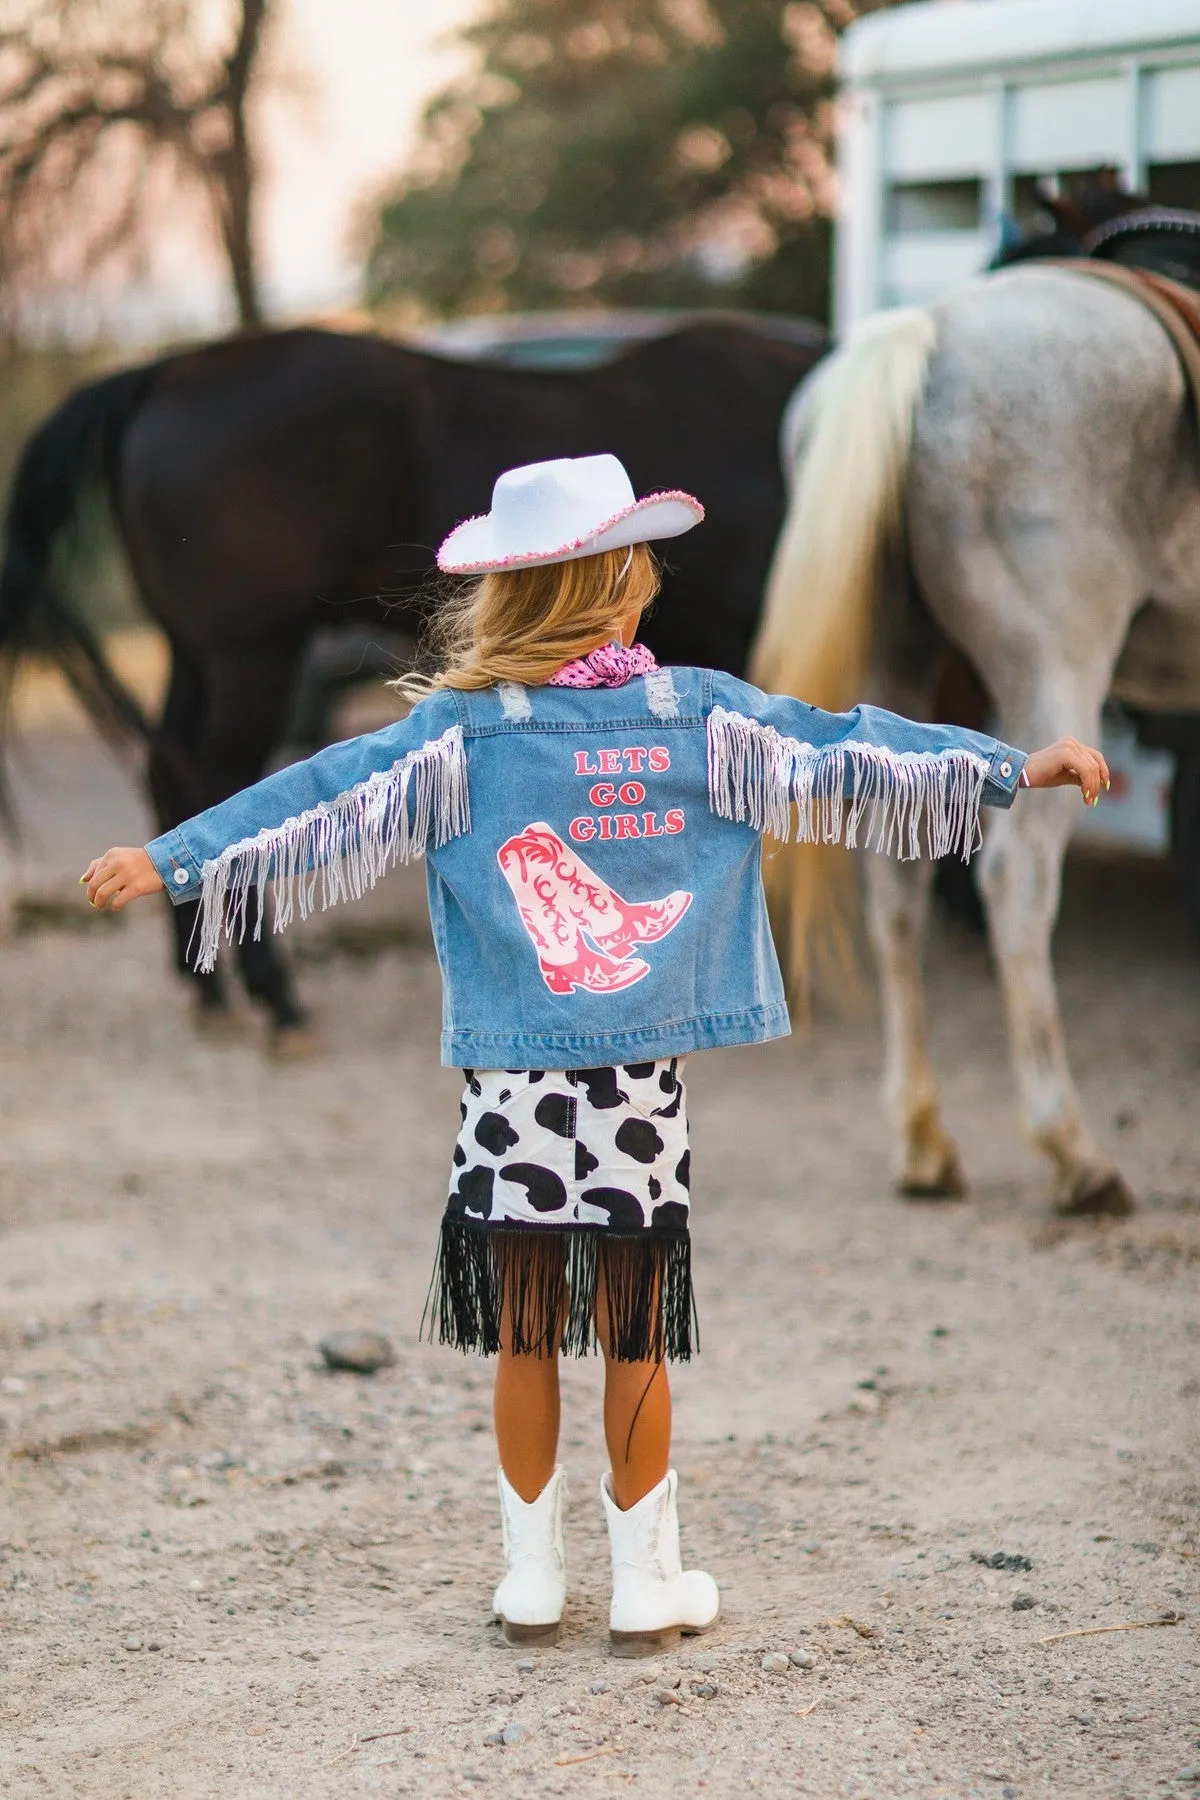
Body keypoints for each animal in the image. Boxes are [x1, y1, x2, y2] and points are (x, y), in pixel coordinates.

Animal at [0, 316, 827, 1036]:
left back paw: (208, 989)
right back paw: (275, 993)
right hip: (250, 654)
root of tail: (169, 369)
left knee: (168, 774)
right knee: (217, 785)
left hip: (195, 650)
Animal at [752, 266, 1200, 1216]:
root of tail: (932, 325)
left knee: (893, 887)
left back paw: (923, 1144)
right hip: (1057, 667)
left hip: (897, 667)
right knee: (1018, 880)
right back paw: (1072, 1152)